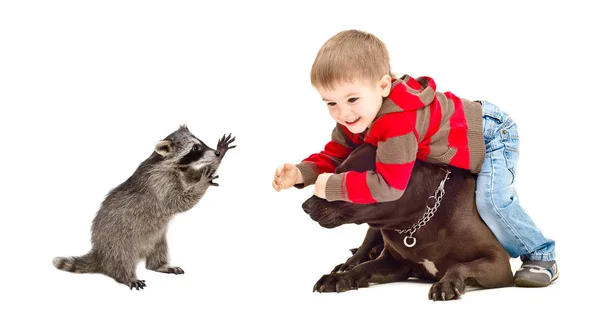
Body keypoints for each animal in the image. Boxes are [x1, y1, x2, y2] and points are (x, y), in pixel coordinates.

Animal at [54, 124, 236, 288]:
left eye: (201, 142)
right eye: (195, 148)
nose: (216, 153)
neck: (166, 162)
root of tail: (100, 253)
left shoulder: (180, 172)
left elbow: (191, 177)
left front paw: (217, 158)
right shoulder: (160, 183)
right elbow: (179, 201)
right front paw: (202, 182)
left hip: (157, 238)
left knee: (158, 251)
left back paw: (160, 265)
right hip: (118, 240)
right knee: (122, 259)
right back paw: (127, 276)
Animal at [302, 144, 512, 298]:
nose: (305, 206)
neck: (414, 221)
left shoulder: (498, 261)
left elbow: (460, 265)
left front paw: (447, 283)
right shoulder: (394, 263)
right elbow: (364, 267)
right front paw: (339, 278)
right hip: (373, 230)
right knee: (364, 248)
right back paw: (350, 262)